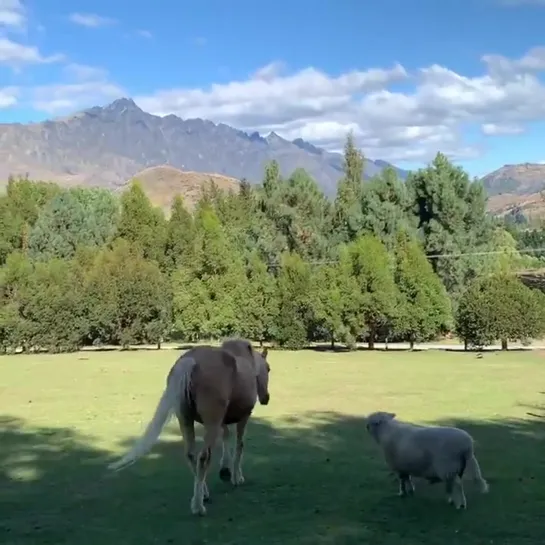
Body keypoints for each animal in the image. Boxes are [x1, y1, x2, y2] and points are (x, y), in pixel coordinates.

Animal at [106, 338, 270, 516]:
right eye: (268, 369)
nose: (266, 398)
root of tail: (190, 361)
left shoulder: (222, 421)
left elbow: (226, 439)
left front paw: (225, 470)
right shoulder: (243, 417)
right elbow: (240, 445)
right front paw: (236, 477)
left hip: (185, 420)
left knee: (191, 454)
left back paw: (203, 493)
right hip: (210, 423)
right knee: (203, 457)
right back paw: (198, 506)